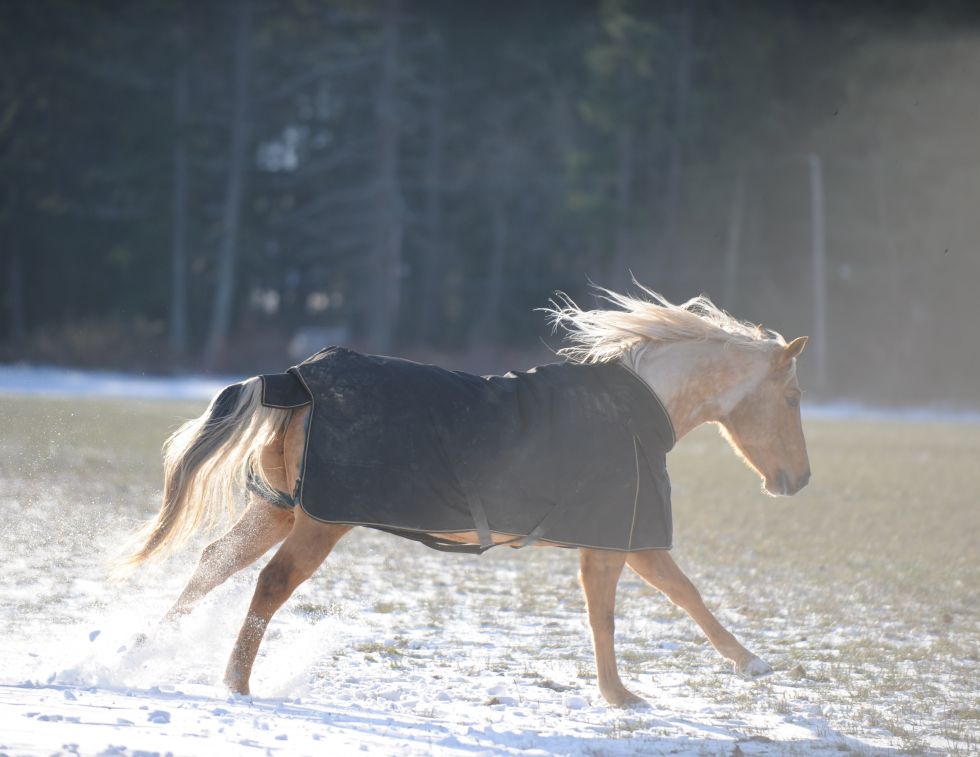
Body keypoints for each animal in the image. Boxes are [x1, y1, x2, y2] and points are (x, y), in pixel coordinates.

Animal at [125, 286, 810, 707]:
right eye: (793, 397)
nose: (798, 480)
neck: (633, 410)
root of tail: (297, 377)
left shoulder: (612, 540)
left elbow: (640, 602)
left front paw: (634, 690)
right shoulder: (624, 537)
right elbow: (657, 600)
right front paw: (717, 673)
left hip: (278, 508)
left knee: (213, 564)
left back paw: (143, 648)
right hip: (321, 520)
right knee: (270, 583)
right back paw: (235, 683)